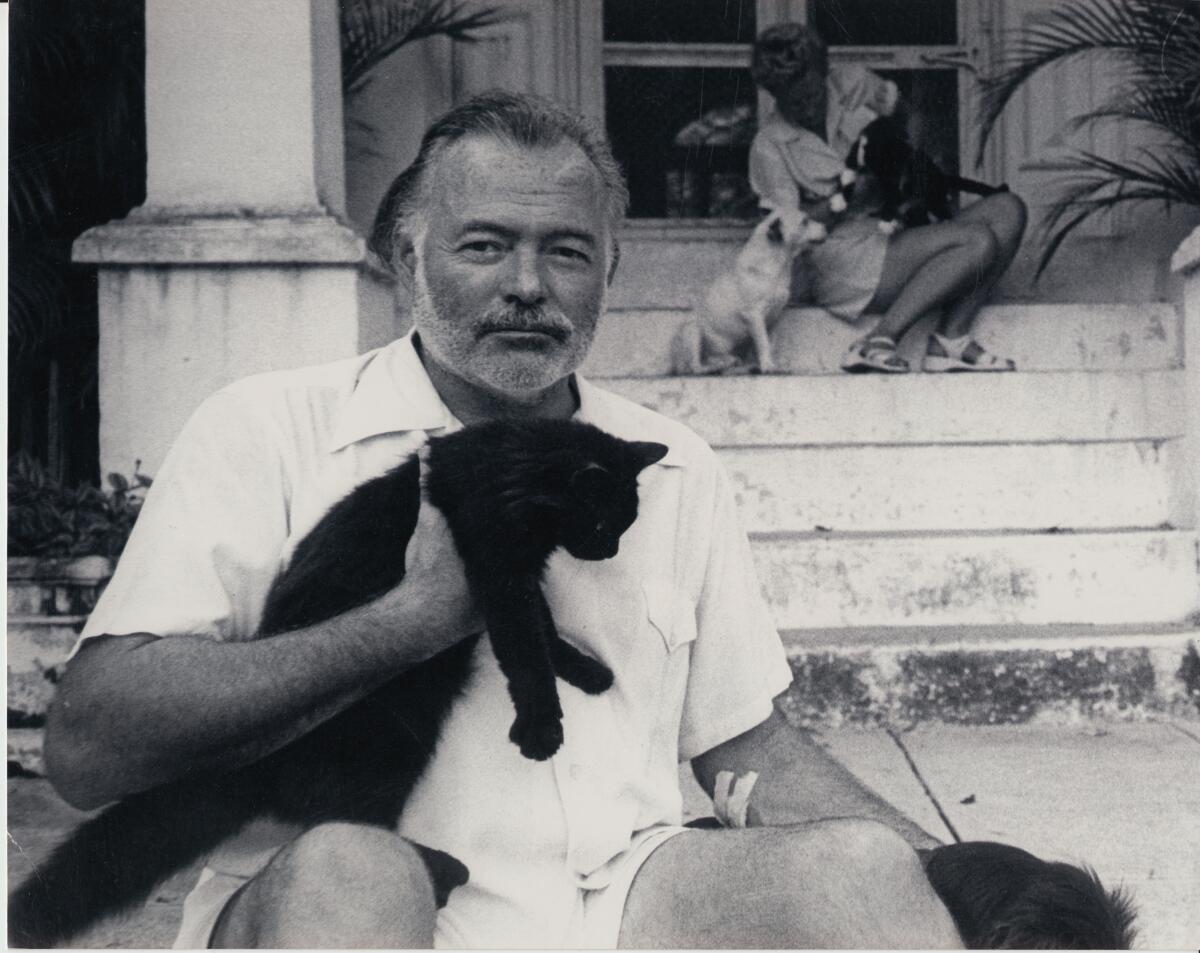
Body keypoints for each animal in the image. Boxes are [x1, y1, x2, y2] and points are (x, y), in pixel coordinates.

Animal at [9, 420, 667, 945]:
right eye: (603, 522)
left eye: (624, 525)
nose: (609, 552)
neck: (511, 463)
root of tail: (252, 760)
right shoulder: (497, 568)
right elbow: (525, 651)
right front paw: (541, 727)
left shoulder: (517, 577)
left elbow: (545, 633)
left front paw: (587, 671)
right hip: (393, 740)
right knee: (344, 819)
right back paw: (440, 866)